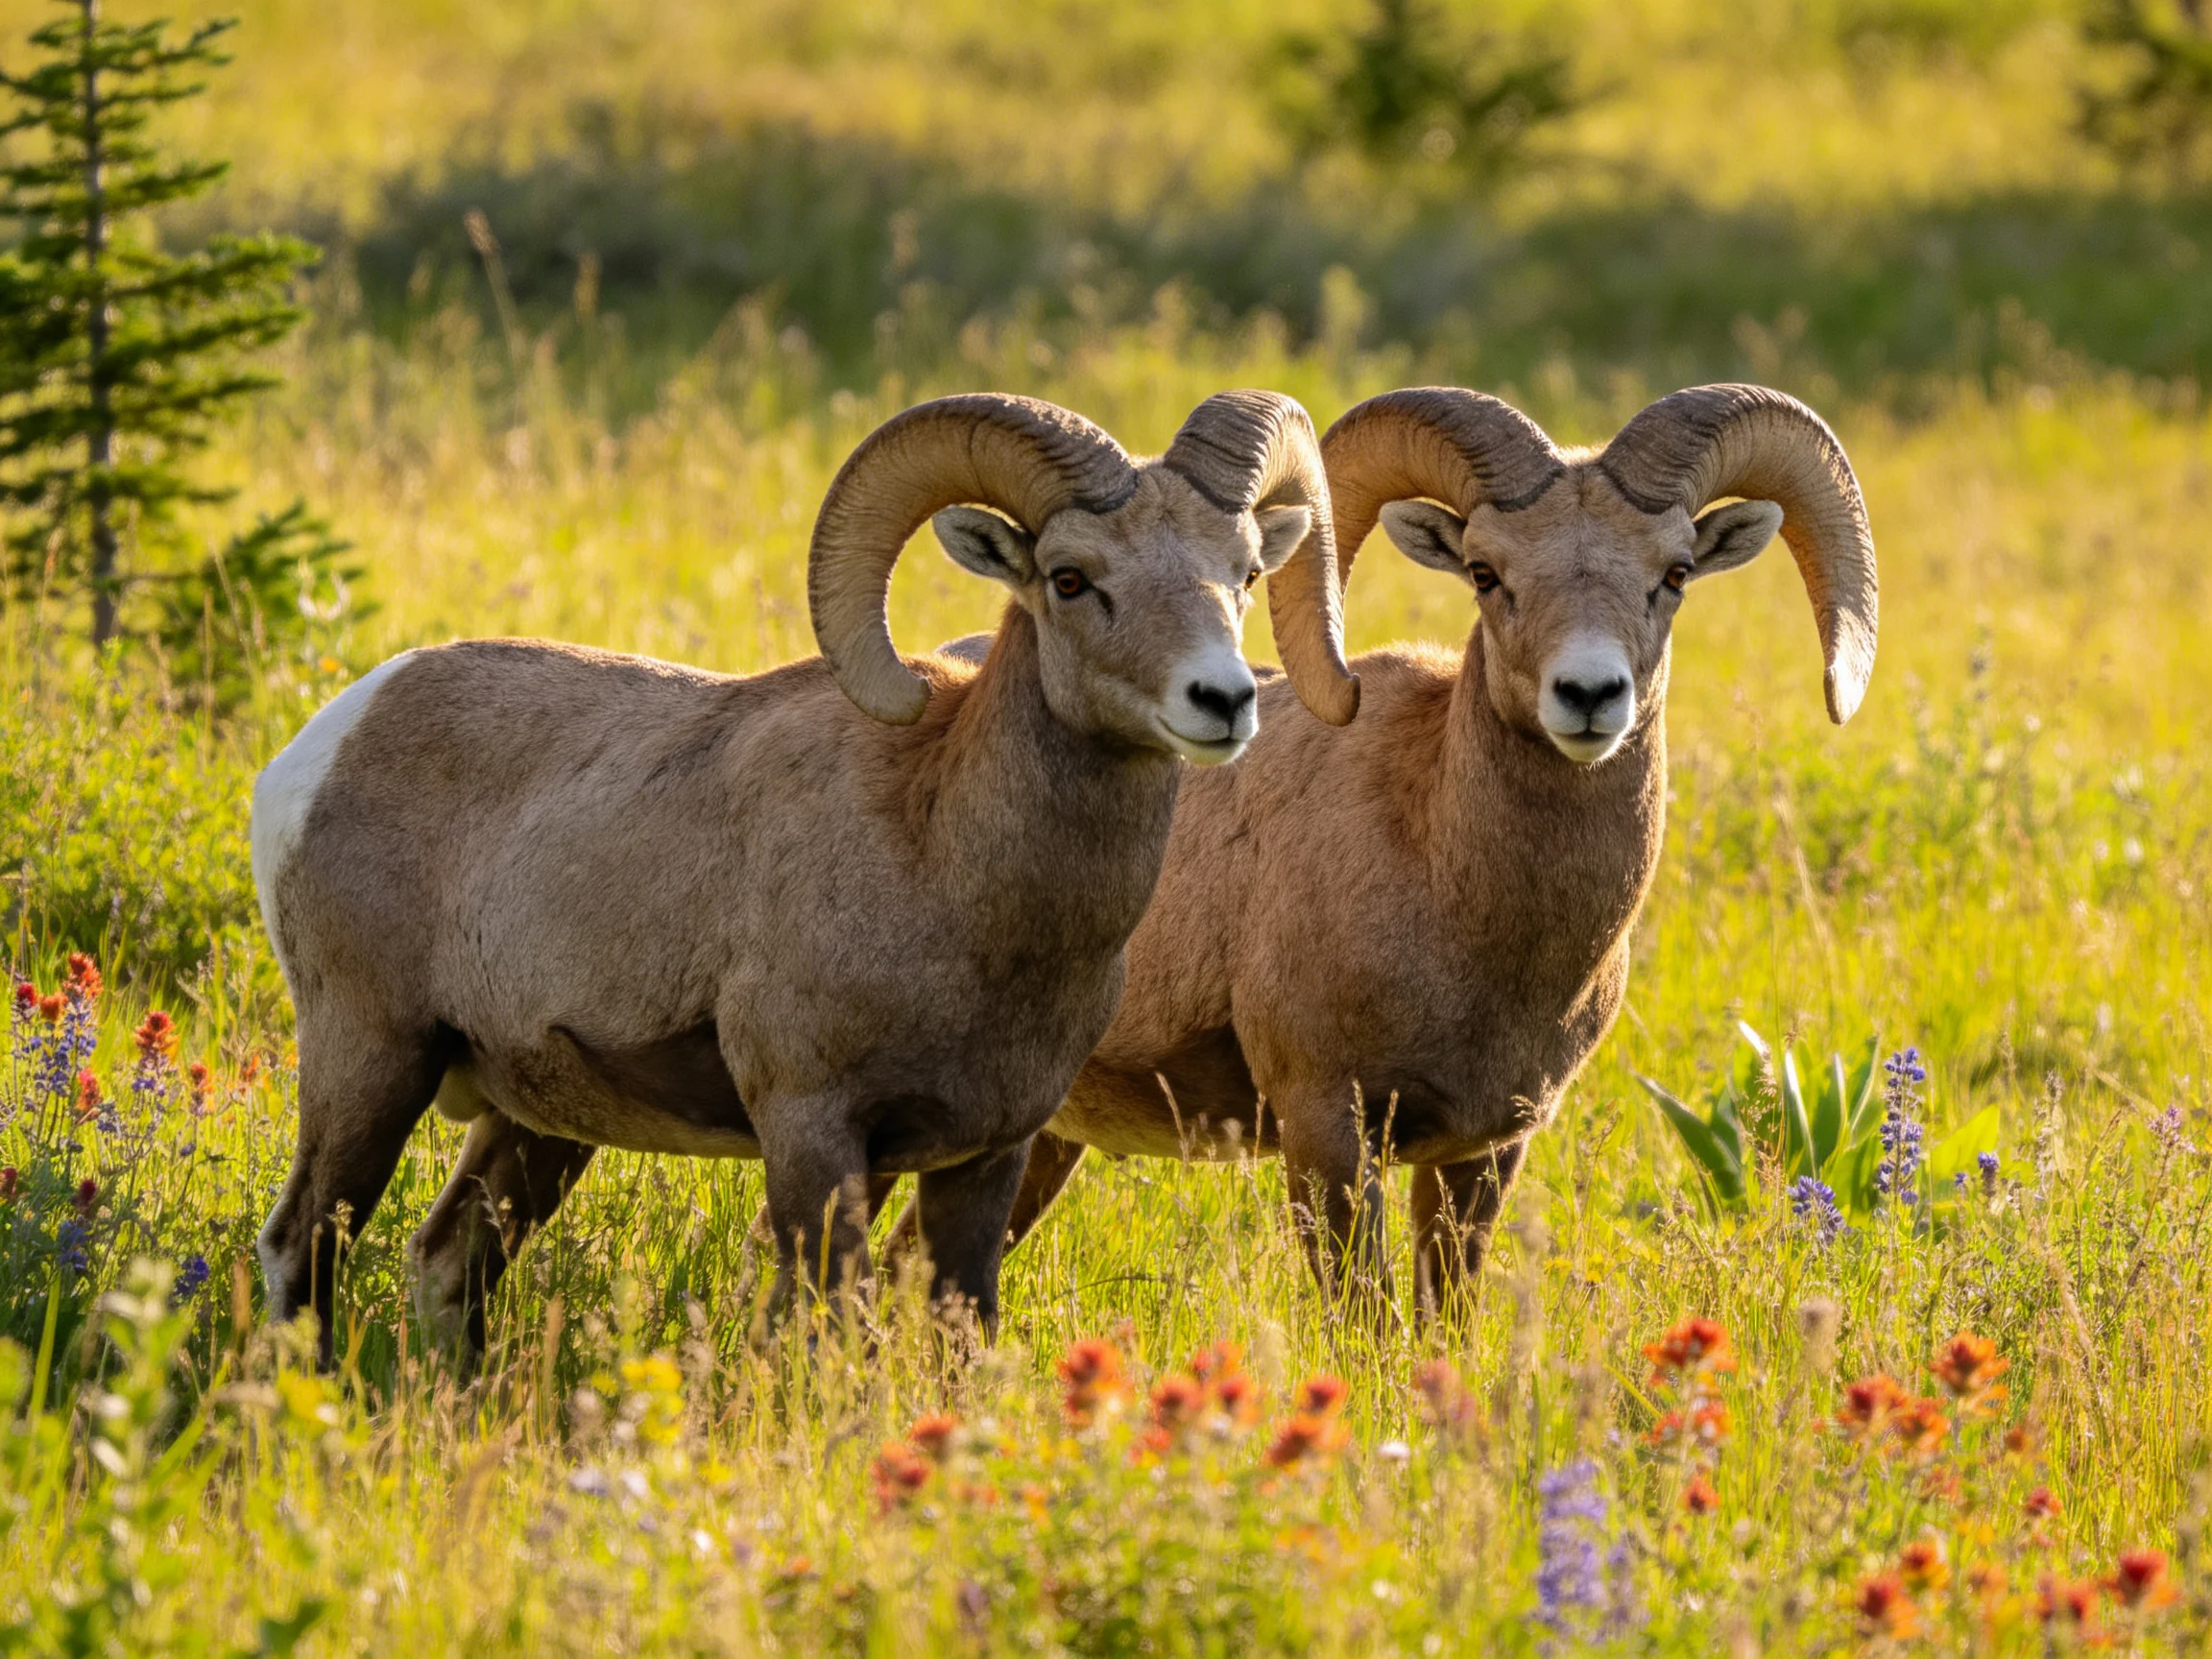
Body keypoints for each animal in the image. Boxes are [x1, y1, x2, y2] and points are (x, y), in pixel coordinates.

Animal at [249, 389, 1359, 1364]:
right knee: (302, 1247)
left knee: (449, 1262)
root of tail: (321, 745)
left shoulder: (985, 1156)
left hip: (531, 1125)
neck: (954, 879)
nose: (1221, 700)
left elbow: (958, 1332)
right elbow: (829, 1329)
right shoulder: (813, 1131)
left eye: (1243, 573)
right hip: (371, 1058)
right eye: (1071, 578)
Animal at [925, 383, 1877, 1318]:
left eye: (1673, 575)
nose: (1589, 695)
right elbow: (1365, 1319)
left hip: (1034, 1144)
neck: (1455, 894)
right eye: (1487, 574)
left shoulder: (1482, 1153)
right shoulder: (1325, 1128)